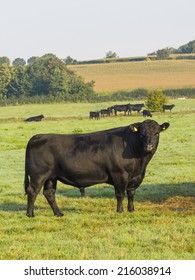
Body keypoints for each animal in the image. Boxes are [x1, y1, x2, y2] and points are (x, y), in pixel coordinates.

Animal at [24, 118, 169, 217]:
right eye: (142, 134)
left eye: (157, 133)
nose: (149, 146)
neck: (139, 161)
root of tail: (37, 136)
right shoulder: (119, 174)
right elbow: (120, 194)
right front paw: (120, 211)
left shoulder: (136, 177)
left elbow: (131, 193)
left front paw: (131, 210)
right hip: (38, 175)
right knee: (32, 191)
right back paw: (30, 214)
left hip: (51, 177)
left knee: (49, 193)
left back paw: (58, 213)